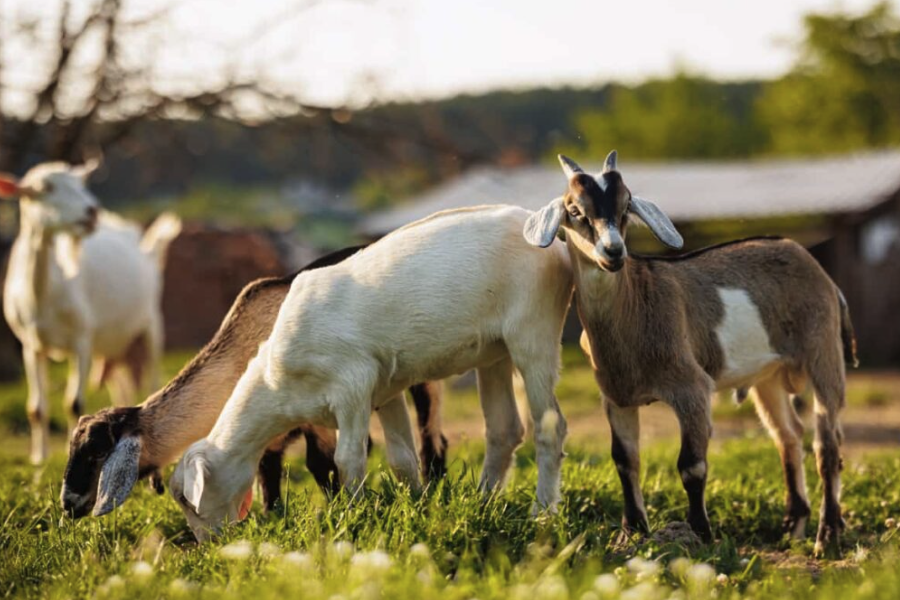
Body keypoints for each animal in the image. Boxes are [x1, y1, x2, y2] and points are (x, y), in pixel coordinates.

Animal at [0, 159, 183, 464]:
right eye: (45, 188)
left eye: (81, 183)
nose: (92, 211)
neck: (45, 291)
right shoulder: (30, 344)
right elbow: (36, 408)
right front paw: (39, 458)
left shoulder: (82, 339)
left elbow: (74, 403)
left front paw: (70, 452)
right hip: (112, 343)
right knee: (122, 386)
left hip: (150, 320)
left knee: (153, 377)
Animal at [59, 246, 446, 516]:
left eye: (97, 452)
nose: (68, 503)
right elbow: (266, 475)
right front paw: (271, 517)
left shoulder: (319, 414)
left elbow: (320, 464)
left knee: (431, 435)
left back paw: (436, 488)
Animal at [171, 205, 572, 540]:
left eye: (187, 500)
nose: (207, 544)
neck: (275, 386)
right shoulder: (385, 390)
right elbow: (402, 460)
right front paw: (416, 506)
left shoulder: (353, 385)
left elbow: (347, 459)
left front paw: (353, 515)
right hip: (494, 352)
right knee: (505, 429)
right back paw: (485, 501)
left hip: (533, 331)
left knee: (550, 428)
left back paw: (542, 512)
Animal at [528, 151, 856, 556]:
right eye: (575, 210)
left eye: (626, 205)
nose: (614, 251)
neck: (636, 303)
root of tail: (817, 269)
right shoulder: (617, 396)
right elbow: (625, 460)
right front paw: (632, 532)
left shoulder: (692, 388)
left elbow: (692, 465)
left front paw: (700, 534)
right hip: (769, 376)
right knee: (788, 435)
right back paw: (793, 525)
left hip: (823, 350)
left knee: (827, 443)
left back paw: (827, 535)